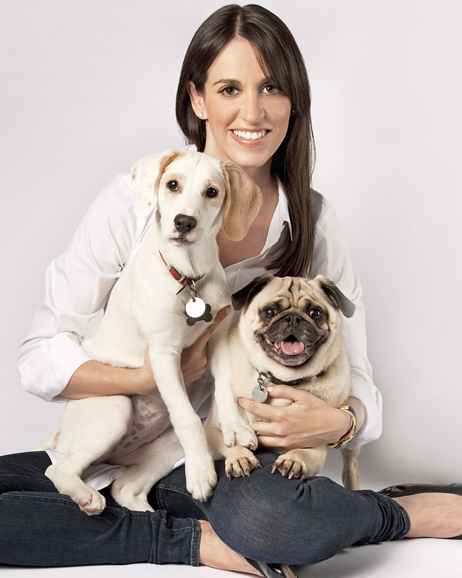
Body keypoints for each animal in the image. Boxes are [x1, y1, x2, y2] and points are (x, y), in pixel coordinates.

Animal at [38, 148, 262, 512]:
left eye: (212, 192)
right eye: (172, 184)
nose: (184, 222)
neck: (188, 277)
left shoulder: (215, 339)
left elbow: (225, 385)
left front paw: (236, 427)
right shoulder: (163, 353)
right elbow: (187, 417)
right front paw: (201, 474)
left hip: (166, 447)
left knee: (124, 488)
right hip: (115, 408)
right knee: (58, 470)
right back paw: (87, 497)